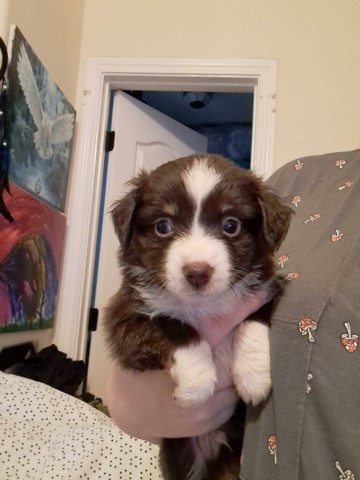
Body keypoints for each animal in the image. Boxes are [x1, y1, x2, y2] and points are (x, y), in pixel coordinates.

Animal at [105, 155, 292, 480]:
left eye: (230, 225)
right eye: (162, 226)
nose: (197, 271)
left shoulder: (268, 288)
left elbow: (253, 320)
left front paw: (254, 375)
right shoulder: (124, 315)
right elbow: (173, 325)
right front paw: (196, 381)